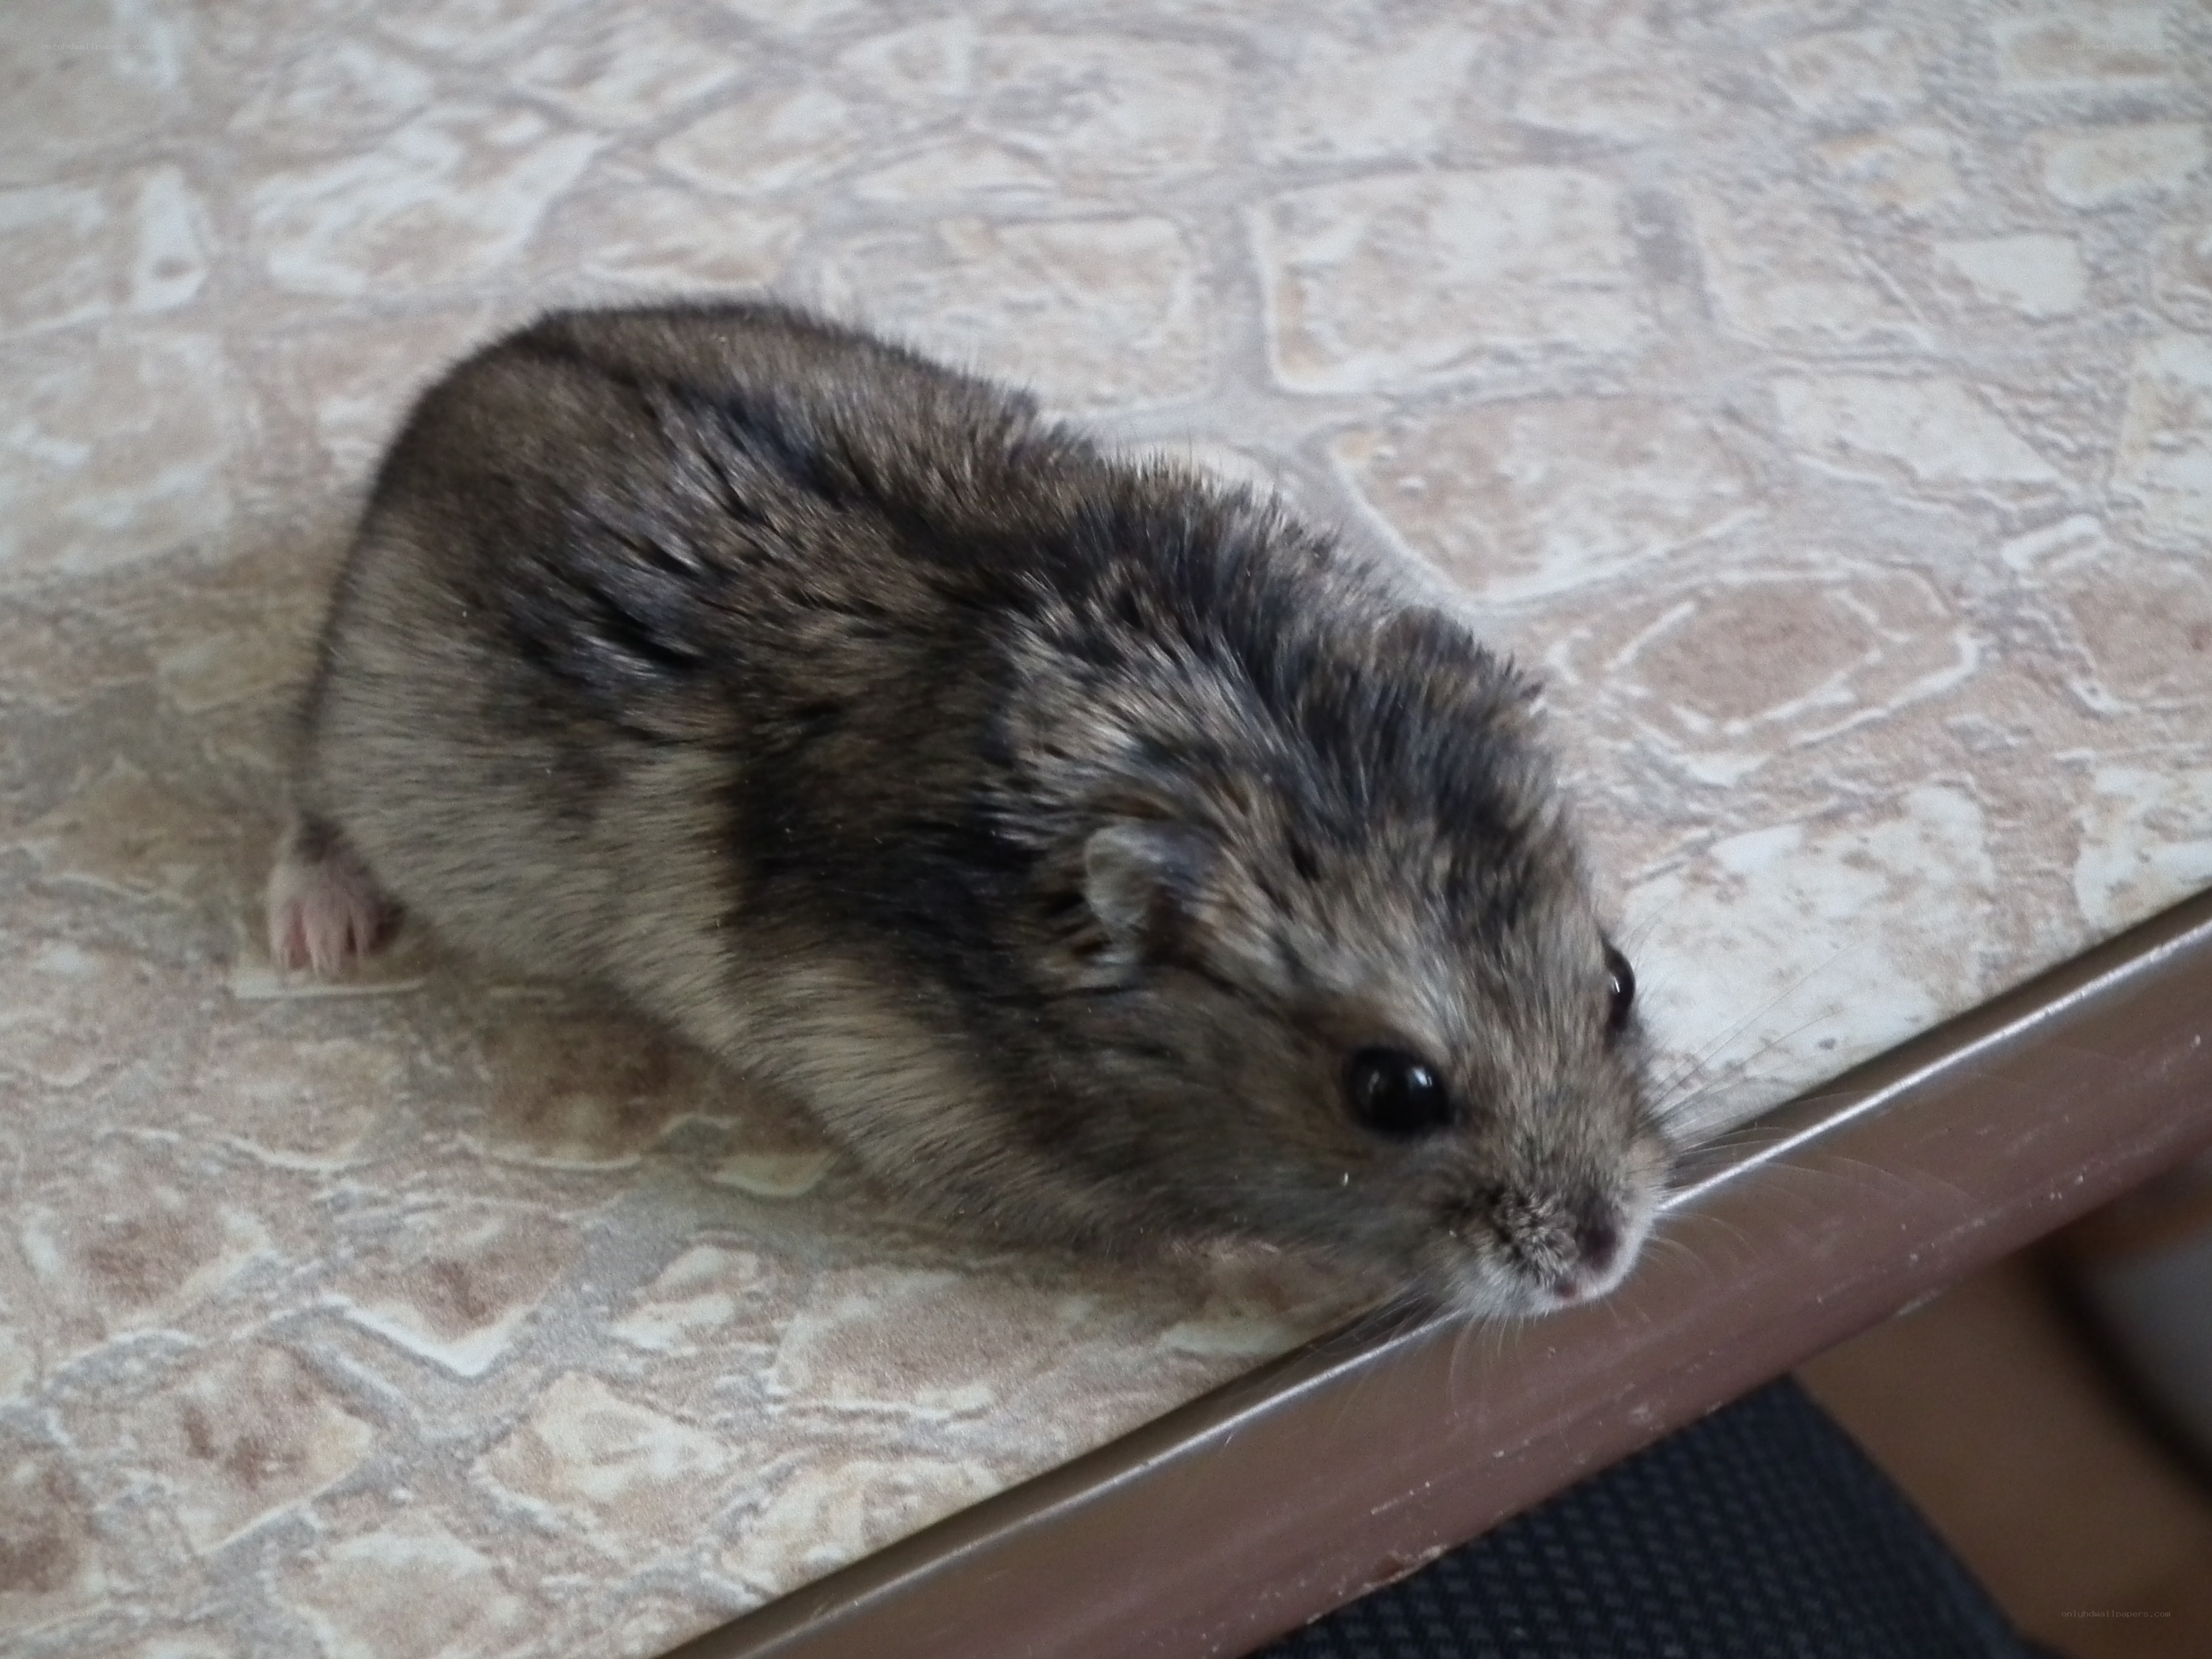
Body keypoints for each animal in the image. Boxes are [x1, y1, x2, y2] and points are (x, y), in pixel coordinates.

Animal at [269, 302, 1671, 1318]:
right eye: (1392, 1091)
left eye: (1616, 980)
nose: (1606, 1263)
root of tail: (449, 393)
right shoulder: (931, 1120)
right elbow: (1176, 1234)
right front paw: (1320, 1276)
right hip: (381, 756)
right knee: (306, 792)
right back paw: (318, 932)